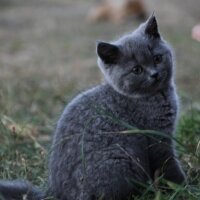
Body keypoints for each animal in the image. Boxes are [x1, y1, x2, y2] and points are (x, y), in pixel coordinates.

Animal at [0, 16, 186, 200]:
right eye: (137, 70)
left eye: (157, 58)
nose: (154, 74)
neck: (156, 95)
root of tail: (53, 192)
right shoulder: (157, 137)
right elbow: (168, 165)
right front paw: (183, 187)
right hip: (121, 158)